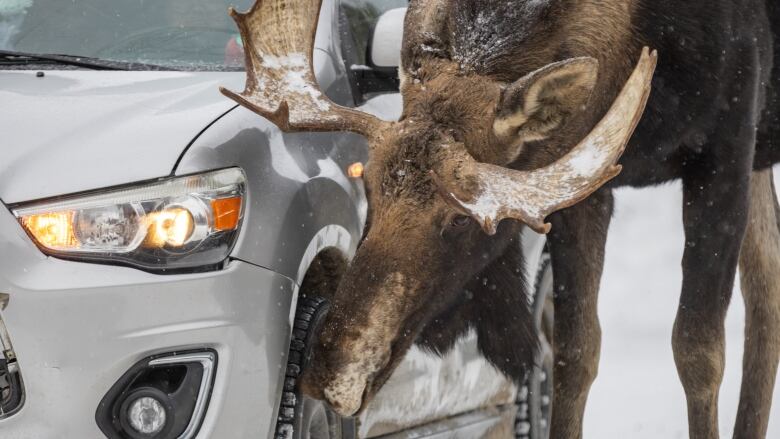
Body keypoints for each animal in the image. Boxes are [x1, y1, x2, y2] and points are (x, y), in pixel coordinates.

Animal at [221, 0, 780, 438]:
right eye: (369, 183)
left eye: (460, 219)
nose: (328, 367)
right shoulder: (585, 184)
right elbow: (575, 352)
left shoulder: (727, 151)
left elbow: (699, 350)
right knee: (767, 292)